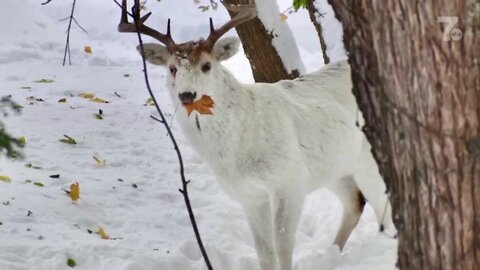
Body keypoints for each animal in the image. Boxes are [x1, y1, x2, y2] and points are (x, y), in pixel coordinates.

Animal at [118, 1, 392, 268]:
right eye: (172, 68)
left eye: (206, 66)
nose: (187, 95)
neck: (238, 150)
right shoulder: (249, 195)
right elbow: (264, 251)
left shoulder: (289, 180)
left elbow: (282, 247)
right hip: (333, 166)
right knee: (355, 202)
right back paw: (331, 255)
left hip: (367, 161)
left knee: (384, 212)